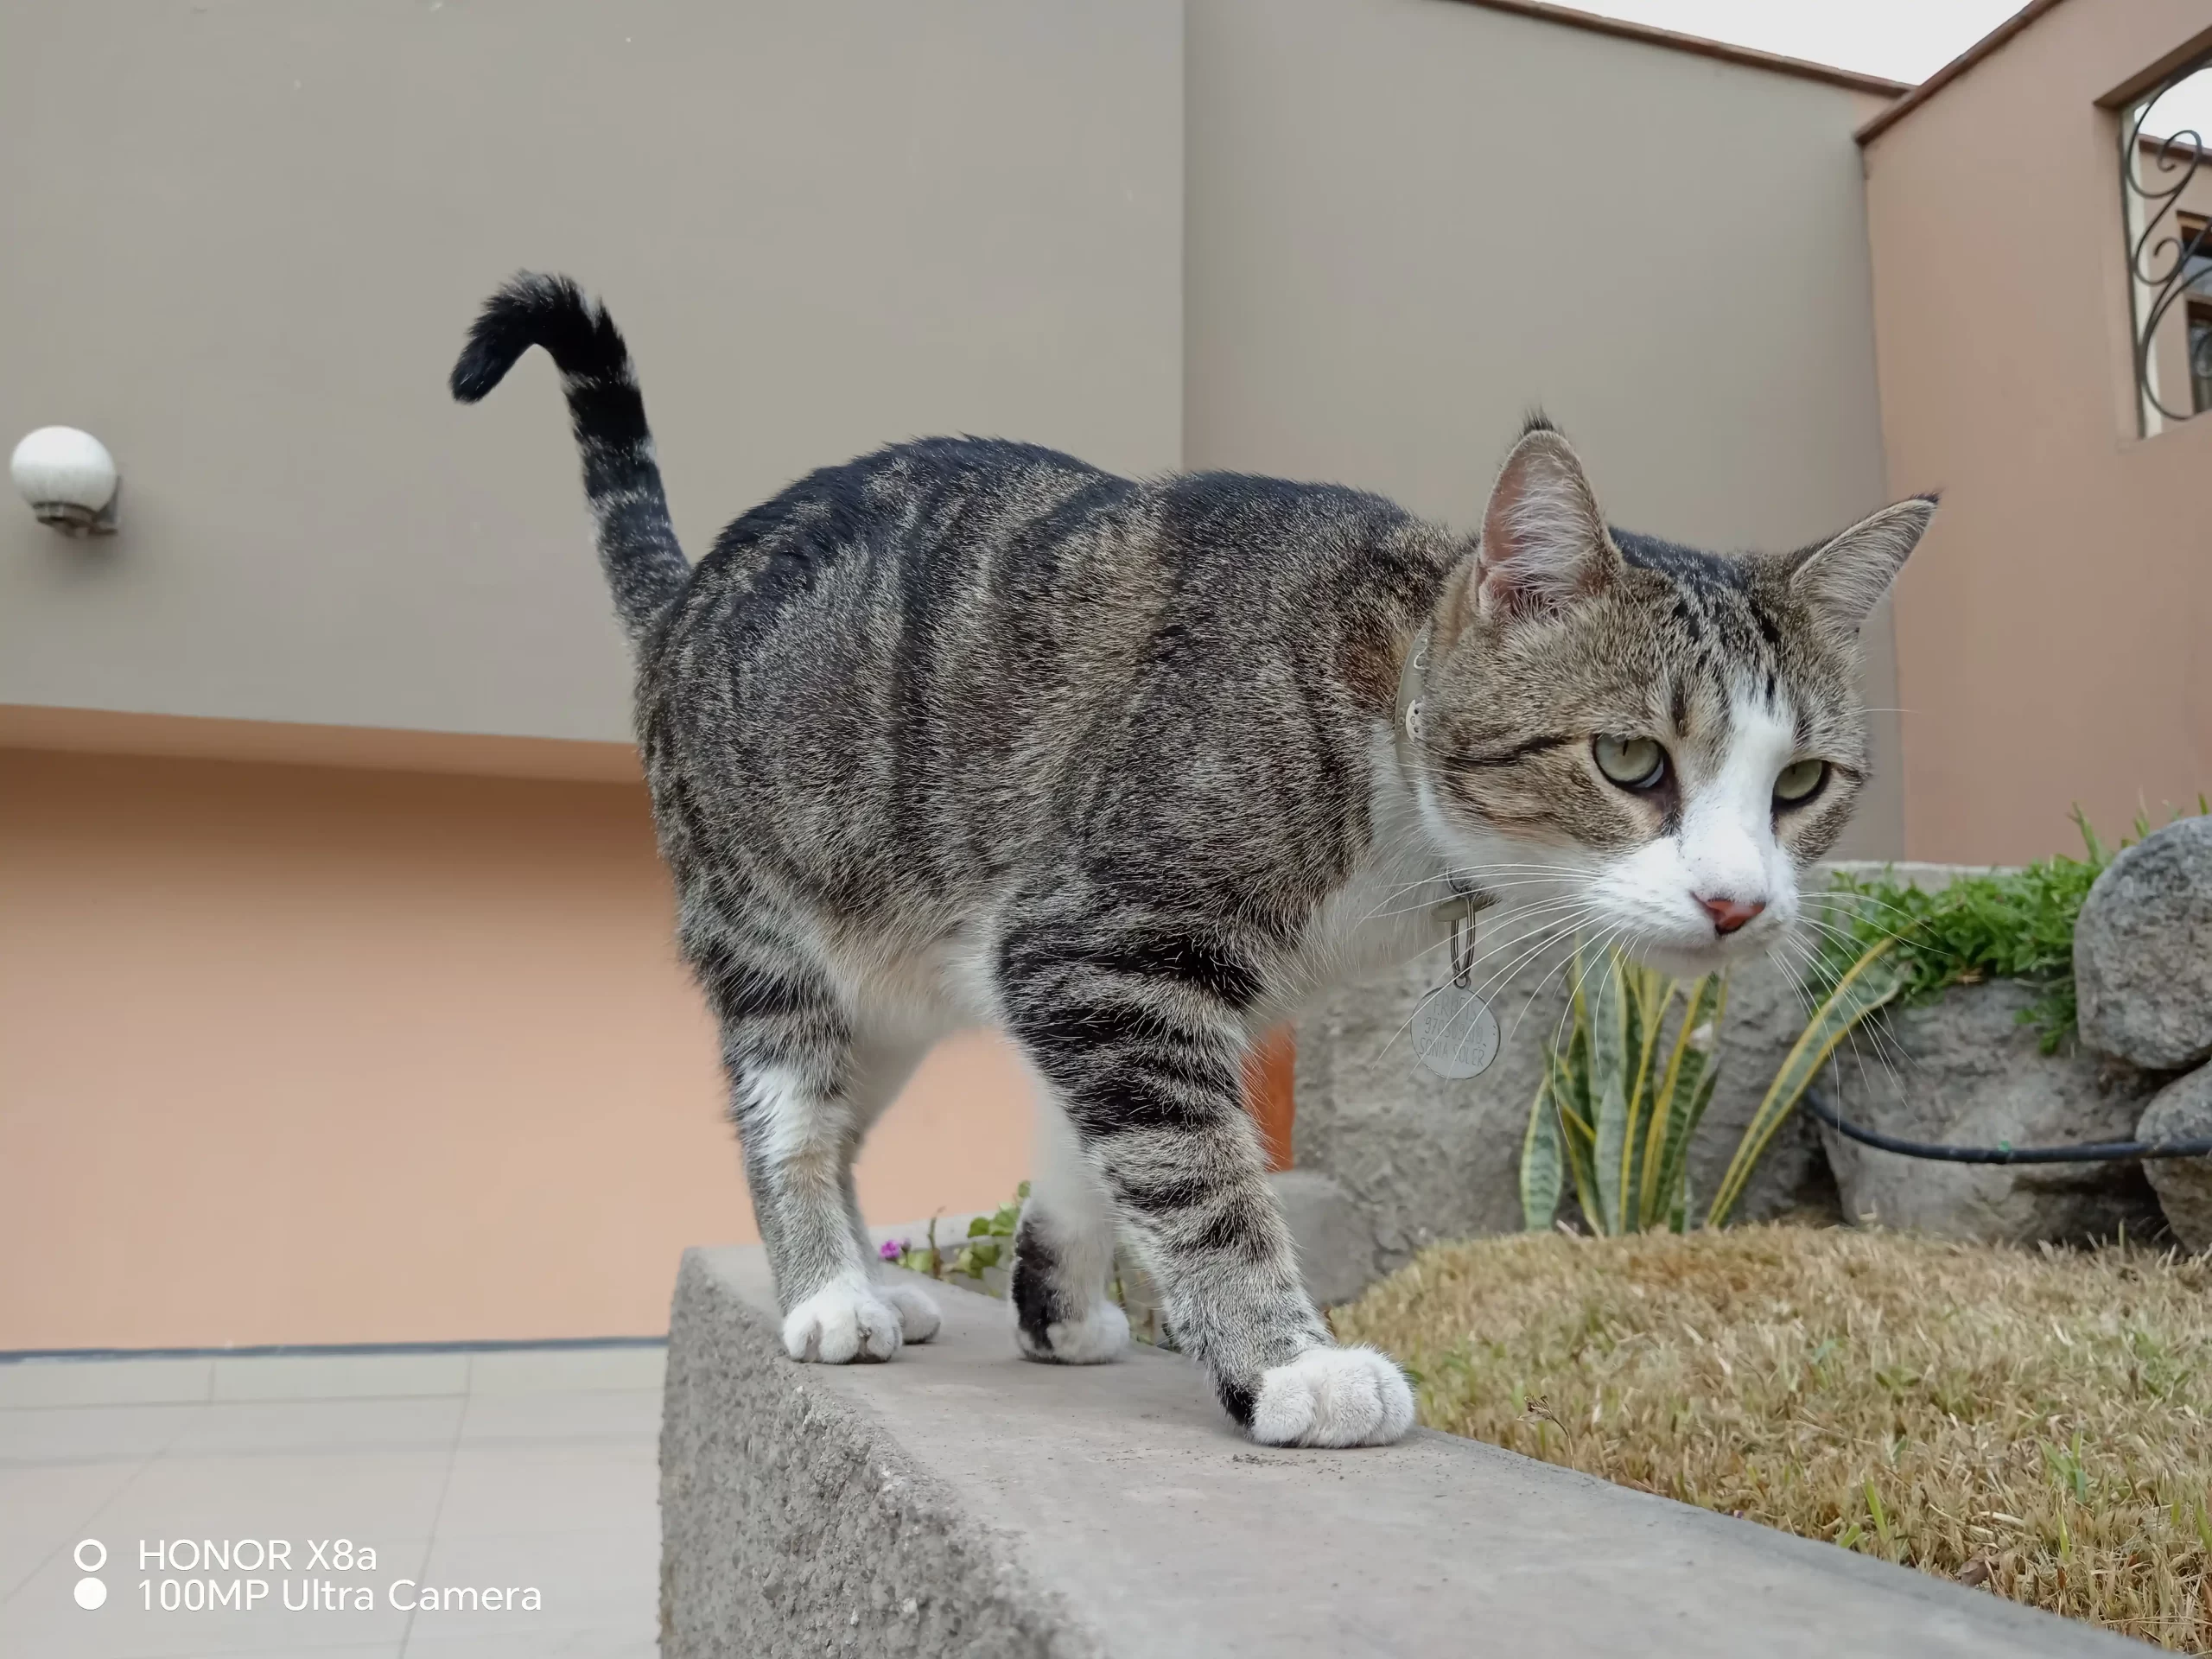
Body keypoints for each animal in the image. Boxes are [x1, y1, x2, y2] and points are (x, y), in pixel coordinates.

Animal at [453, 273, 1937, 1442]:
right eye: (1631, 761)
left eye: (1802, 784)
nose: (1739, 903)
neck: (1374, 707)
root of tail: (690, 588)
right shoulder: (1099, 942)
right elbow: (1197, 1171)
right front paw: (1289, 1365)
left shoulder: (1085, 979)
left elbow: (1088, 1150)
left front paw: (1059, 1305)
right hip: (768, 927)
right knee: (788, 1118)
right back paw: (828, 1295)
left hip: (897, 992)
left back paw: (881, 1289)